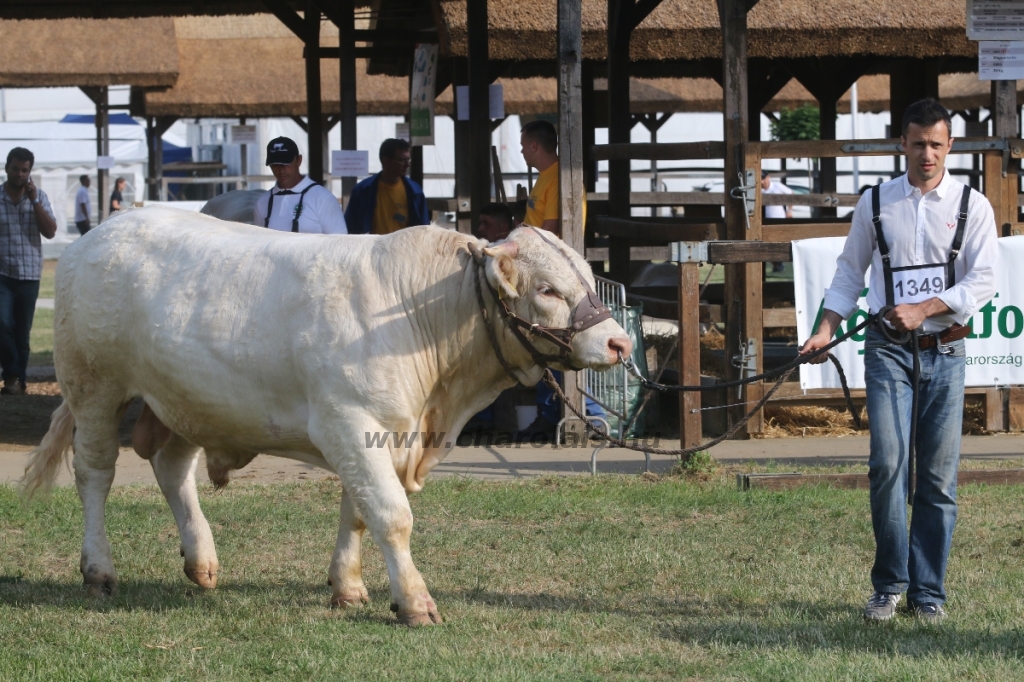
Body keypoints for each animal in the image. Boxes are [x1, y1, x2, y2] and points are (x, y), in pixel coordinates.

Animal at [22, 205, 630, 622]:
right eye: (548, 289)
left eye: (586, 276)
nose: (619, 343)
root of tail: (103, 230)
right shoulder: (350, 424)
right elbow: (390, 514)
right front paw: (413, 601)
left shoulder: (377, 435)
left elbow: (358, 513)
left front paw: (349, 588)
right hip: (94, 389)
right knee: (95, 474)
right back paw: (99, 571)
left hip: (186, 400)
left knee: (172, 470)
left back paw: (201, 560)